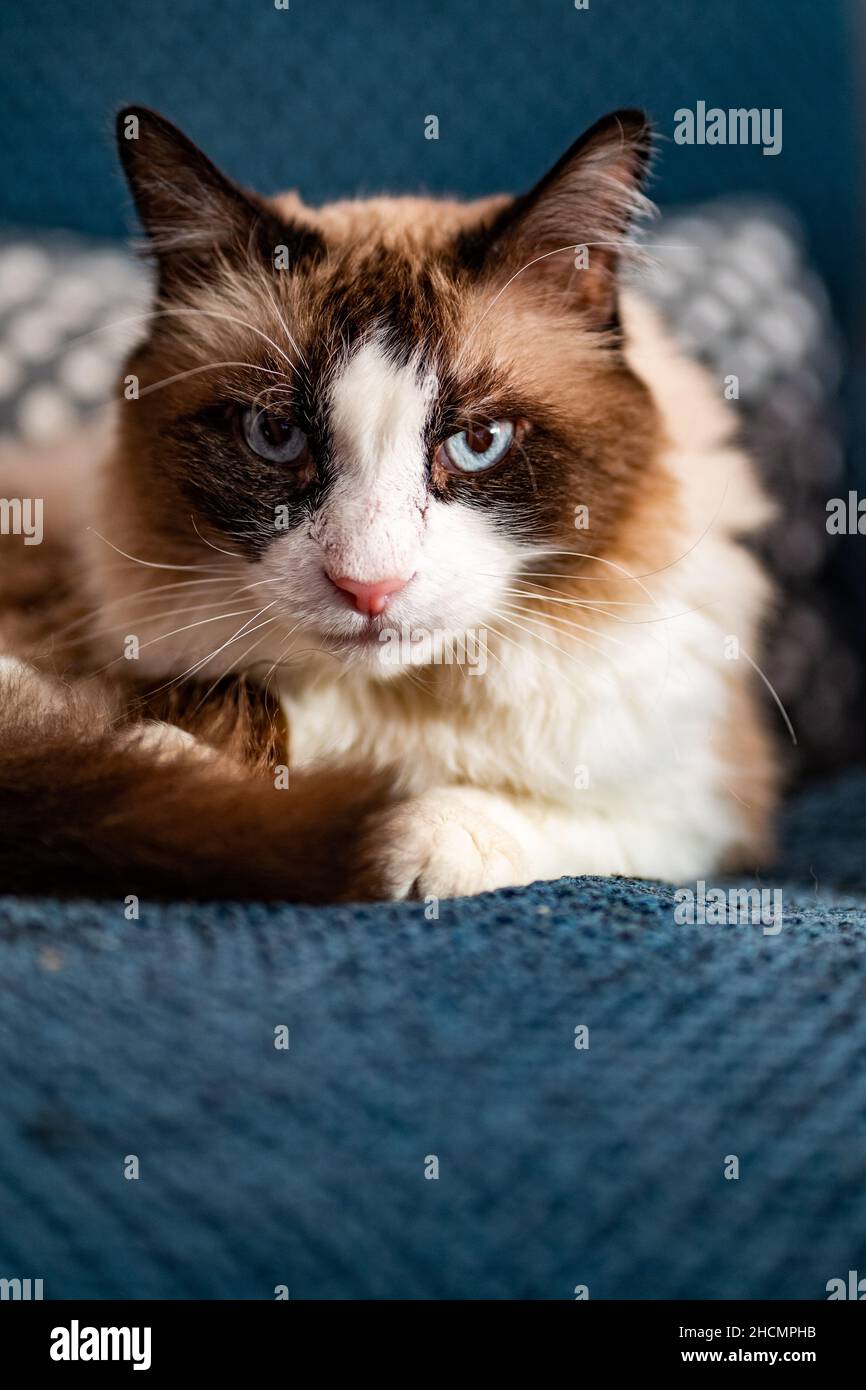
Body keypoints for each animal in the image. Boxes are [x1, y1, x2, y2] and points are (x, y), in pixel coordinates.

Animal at [0, 100, 778, 900]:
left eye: (478, 441)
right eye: (275, 434)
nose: (369, 587)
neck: (386, 706)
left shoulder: (703, 801)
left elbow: (543, 815)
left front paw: (406, 840)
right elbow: (149, 747)